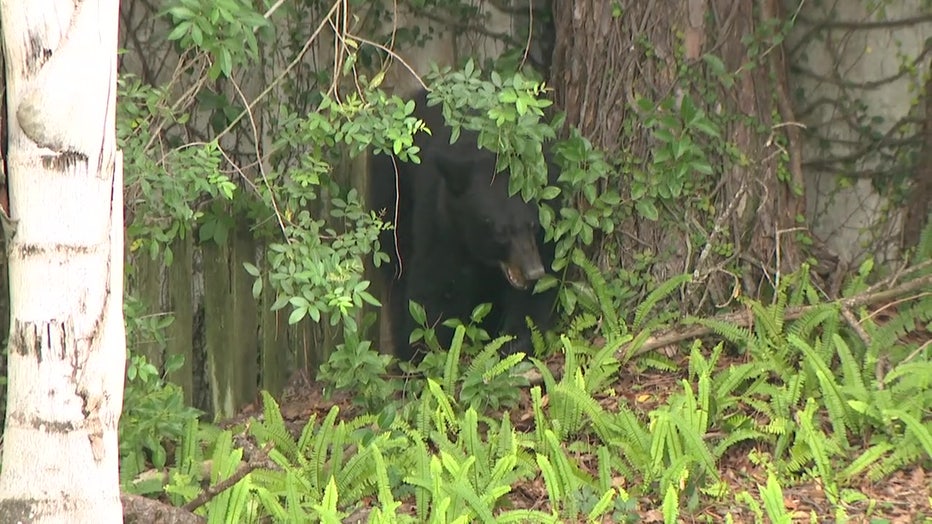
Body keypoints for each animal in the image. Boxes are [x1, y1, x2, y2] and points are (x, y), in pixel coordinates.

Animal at [370, 88, 560, 362]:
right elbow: (434, 287)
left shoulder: (550, 222)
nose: (534, 271)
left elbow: (536, 297)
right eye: (500, 231)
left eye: (533, 225)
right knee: (397, 264)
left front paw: (514, 343)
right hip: (393, 194)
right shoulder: (441, 222)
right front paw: (424, 350)